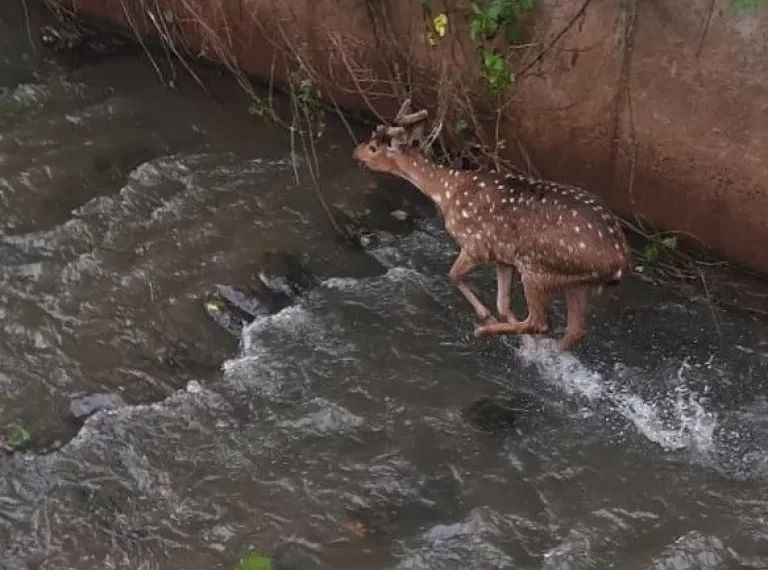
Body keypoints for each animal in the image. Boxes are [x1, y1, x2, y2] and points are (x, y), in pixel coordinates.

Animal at [352, 99, 631, 351]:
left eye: (374, 147)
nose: (356, 151)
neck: (446, 191)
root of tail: (619, 259)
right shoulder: (503, 257)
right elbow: (502, 303)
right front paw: (518, 337)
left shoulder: (477, 245)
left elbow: (453, 276)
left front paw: (485, 318)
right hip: (575, 283)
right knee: (575, 330)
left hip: (537, 268)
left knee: (541, 322)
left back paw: (485, 332)